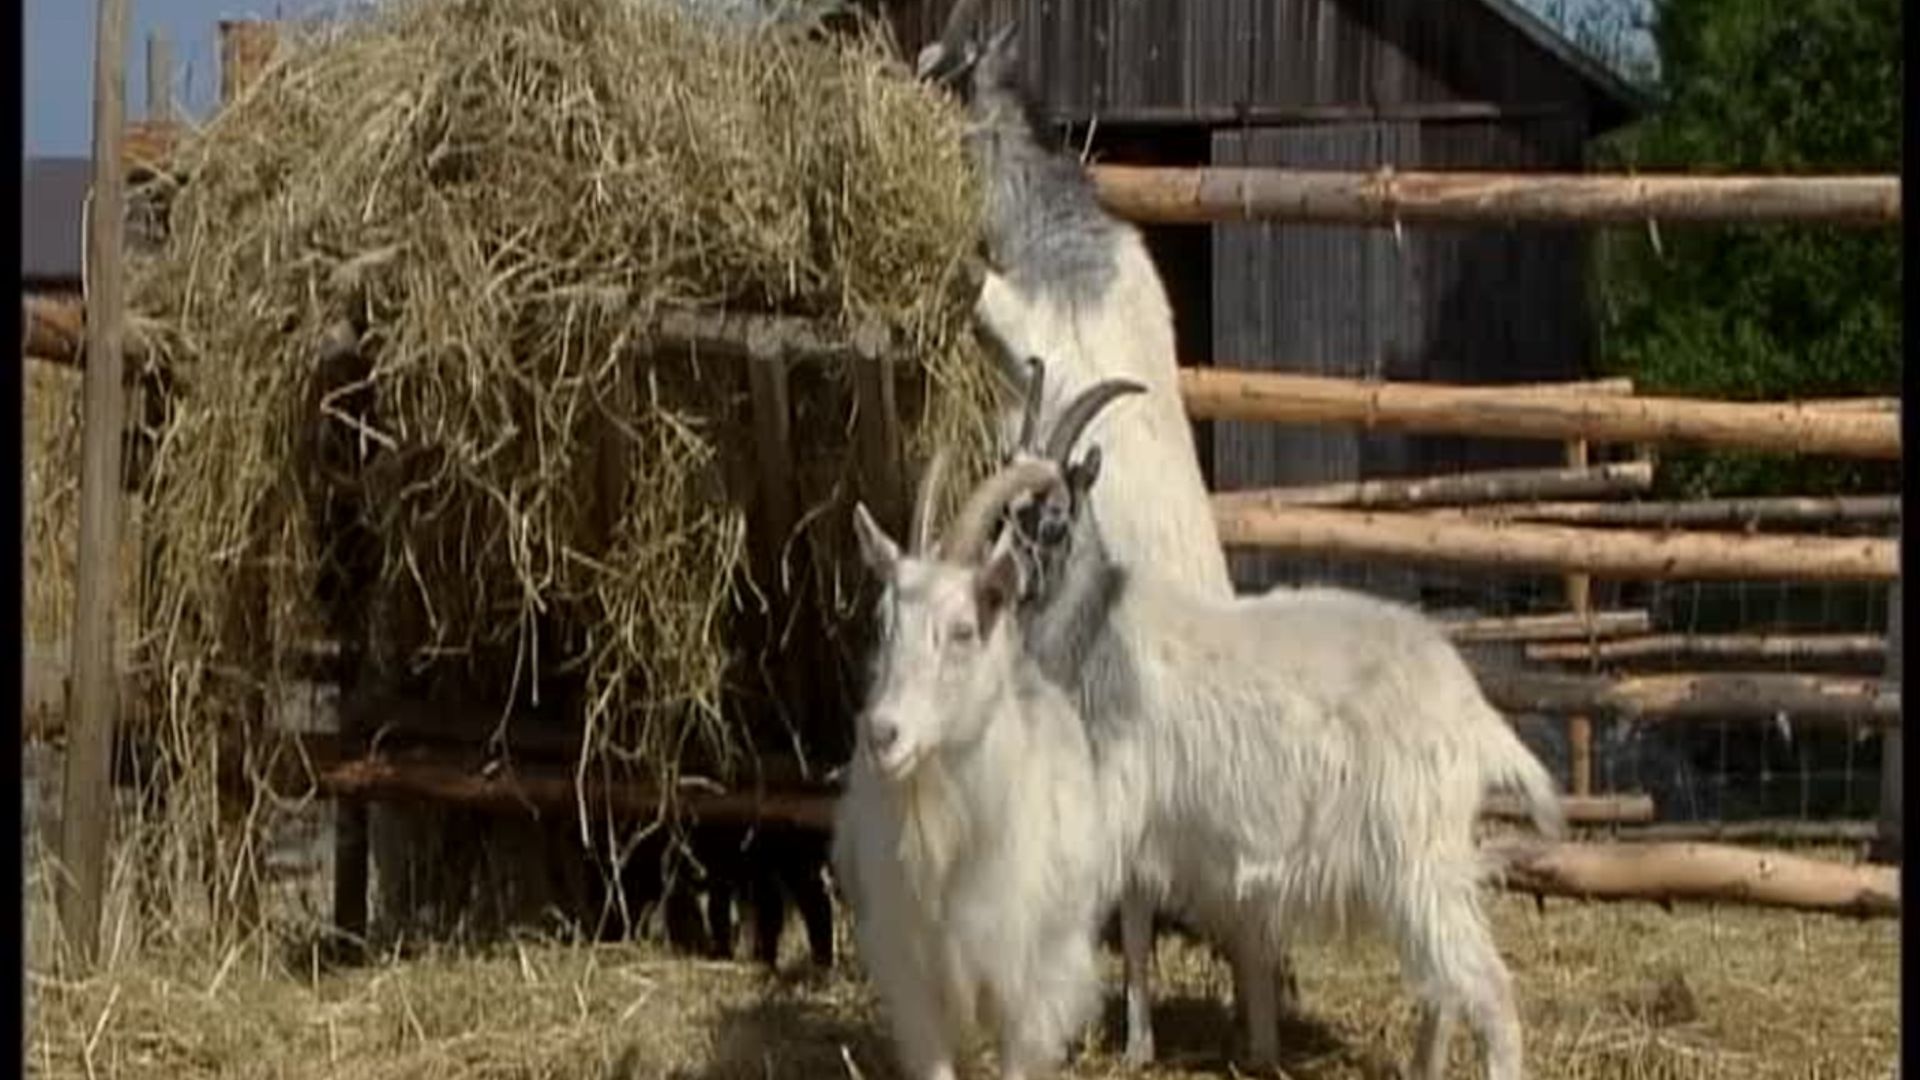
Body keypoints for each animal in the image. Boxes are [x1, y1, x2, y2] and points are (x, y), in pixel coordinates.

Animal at [1000, 368, 1566, 1080]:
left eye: (1054, 518)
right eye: (1002, 511)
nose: (1000, 581)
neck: (1098, 628)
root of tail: (1474, 715)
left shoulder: (1118, 804)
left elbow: (1117, 919)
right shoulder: (1147, 825)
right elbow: (1134, 925)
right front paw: (1143, 1047)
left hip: (1419, 852)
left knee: (1487, 986)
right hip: (1423, 862)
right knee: (1443, 983)